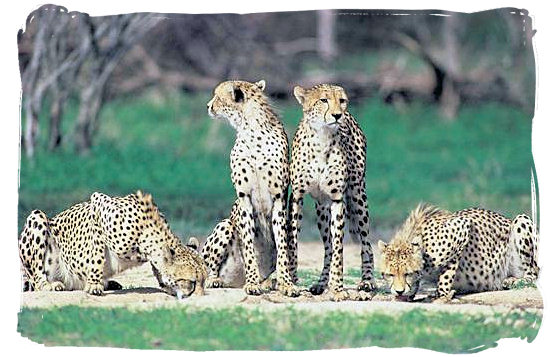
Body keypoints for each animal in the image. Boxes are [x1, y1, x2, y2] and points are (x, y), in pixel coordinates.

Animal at [19, 189, 208, 298]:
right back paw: (49, 285)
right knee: (37, 278)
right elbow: (97, 256)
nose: (200, 295)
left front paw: (165, 285)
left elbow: (157, 267)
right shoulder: (97, 205)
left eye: (204, 280)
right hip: (37, 217)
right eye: (192, 281)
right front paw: (94, 285)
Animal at [203, 79, 300, 296]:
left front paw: (286, 283)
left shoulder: (279, 198)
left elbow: (282, 245)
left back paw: (269, 281)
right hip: (225, 225)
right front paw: (252, 282)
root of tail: (235, 281)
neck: (251, 131)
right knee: (209, 268)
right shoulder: (244, 198)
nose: (208, 106)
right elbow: (248, 245)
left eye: (218, 97)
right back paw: (216, 280)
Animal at [286, 83, 378, 300]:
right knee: (327, 246)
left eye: (342, 100)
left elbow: (339, 247)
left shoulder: (338, 199)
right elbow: (293, 240)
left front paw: (337, 288)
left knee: (366, 243)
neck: (322, 139)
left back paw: (367, 282)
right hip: (321, 208)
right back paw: (321, 283)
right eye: (323, 100)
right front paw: (291, 281)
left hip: (357, 196)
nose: (337, 115)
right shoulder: (297, 196)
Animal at [378, 203, 540, 300]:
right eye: (390, 274)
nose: (399, 291)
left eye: (408, 273)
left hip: (521, 220)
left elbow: (447, 273)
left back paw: (516, 280)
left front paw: (441, 293)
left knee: (533, 274)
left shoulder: (462, 227)